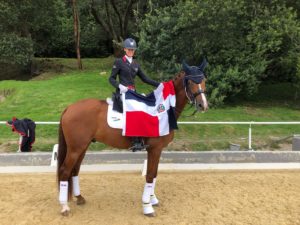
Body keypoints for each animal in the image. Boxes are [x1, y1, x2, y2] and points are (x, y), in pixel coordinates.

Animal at [56, 60, 209, 216]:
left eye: (204, 80)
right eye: (191, 82)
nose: (203, 105)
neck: (163, 109)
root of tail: (69, 108)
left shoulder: (157, 150)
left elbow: (154, 174)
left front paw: (153, 199)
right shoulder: (155, 149)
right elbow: (150, 175)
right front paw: (147, 206)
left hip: (83, 146)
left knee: (75, 170)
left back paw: (79, 198)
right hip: (75, 148)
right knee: (65, 171)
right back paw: (64, 207)